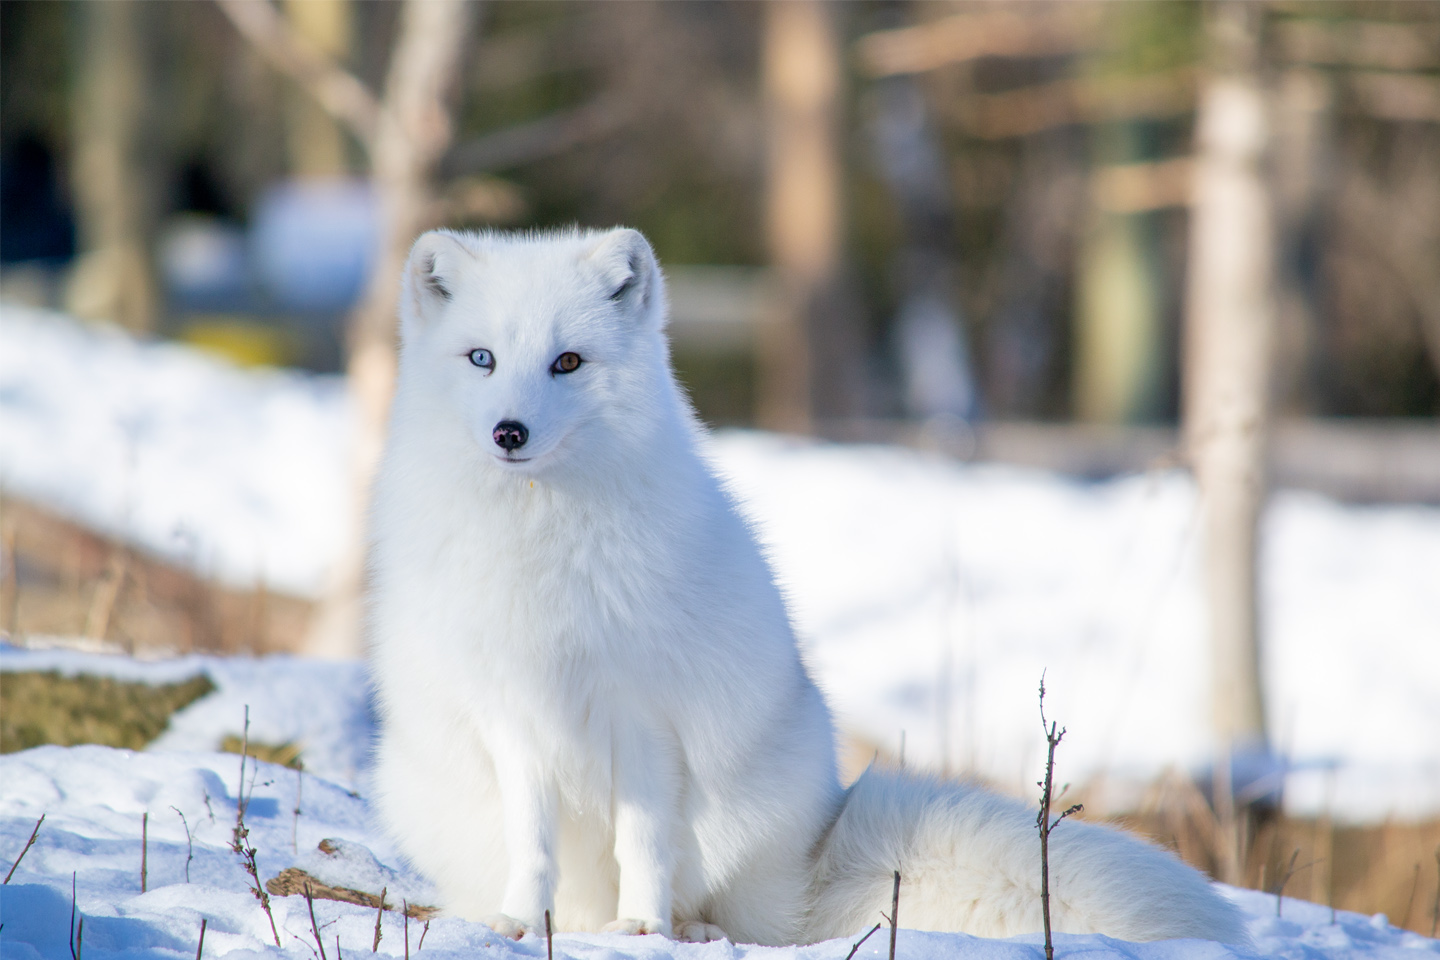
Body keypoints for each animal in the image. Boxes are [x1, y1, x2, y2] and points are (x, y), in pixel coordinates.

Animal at [362, 227, 1249, 944]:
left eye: (568, 362)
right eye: (481, 358)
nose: (509, 432)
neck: (538, 533)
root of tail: (810, 863)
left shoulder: (642, 714)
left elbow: (642, 842)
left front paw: (642, 928)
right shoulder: (510, 712)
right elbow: (533, 842)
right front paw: (519, 920)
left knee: (727, 907)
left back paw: (686, 927)